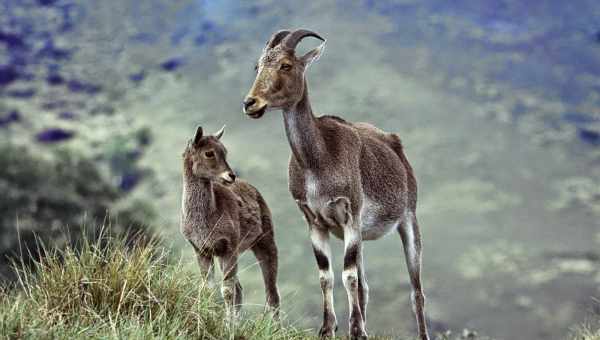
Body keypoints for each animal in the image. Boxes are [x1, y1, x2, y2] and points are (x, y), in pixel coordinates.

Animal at [180, 125, 282, 318]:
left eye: (225, 151)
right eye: (209, 153)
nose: (231, 176)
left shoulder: (229, 246)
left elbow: (227, 291)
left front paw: (227, 323)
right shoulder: (201, 249)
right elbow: (209, 288)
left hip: (265, 240)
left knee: (271, 293)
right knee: (240, 289)